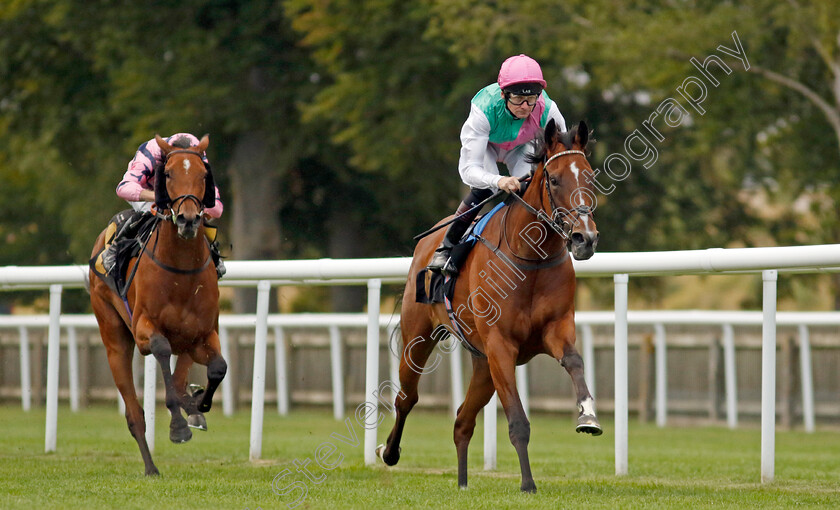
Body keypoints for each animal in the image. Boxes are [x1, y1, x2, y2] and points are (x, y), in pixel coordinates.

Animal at [90, 133, 226, 476]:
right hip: (114, 337)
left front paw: (198, 404)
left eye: (203, 176)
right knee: (134, 413)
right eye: (168, 174)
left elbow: (218, 368)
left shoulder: (203, 334)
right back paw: (151, 466)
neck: (180, 272)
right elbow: (162, 352)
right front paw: (178, 426)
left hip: (187, 339)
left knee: (181, 375)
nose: (188, 219)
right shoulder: (144, 331)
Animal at [380, 118, 604, 490]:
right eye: (555, 179)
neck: (530, 258)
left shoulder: (555, 330)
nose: (584, 238)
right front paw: (527, 484)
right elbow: (518, 421)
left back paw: (462, 482)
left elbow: (574, 360)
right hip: (419, 338)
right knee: (406, 397)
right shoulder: (501, 346)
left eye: (590, 177)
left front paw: (588, 416)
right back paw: (389, 452)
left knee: (462, 420)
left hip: (483, 364)